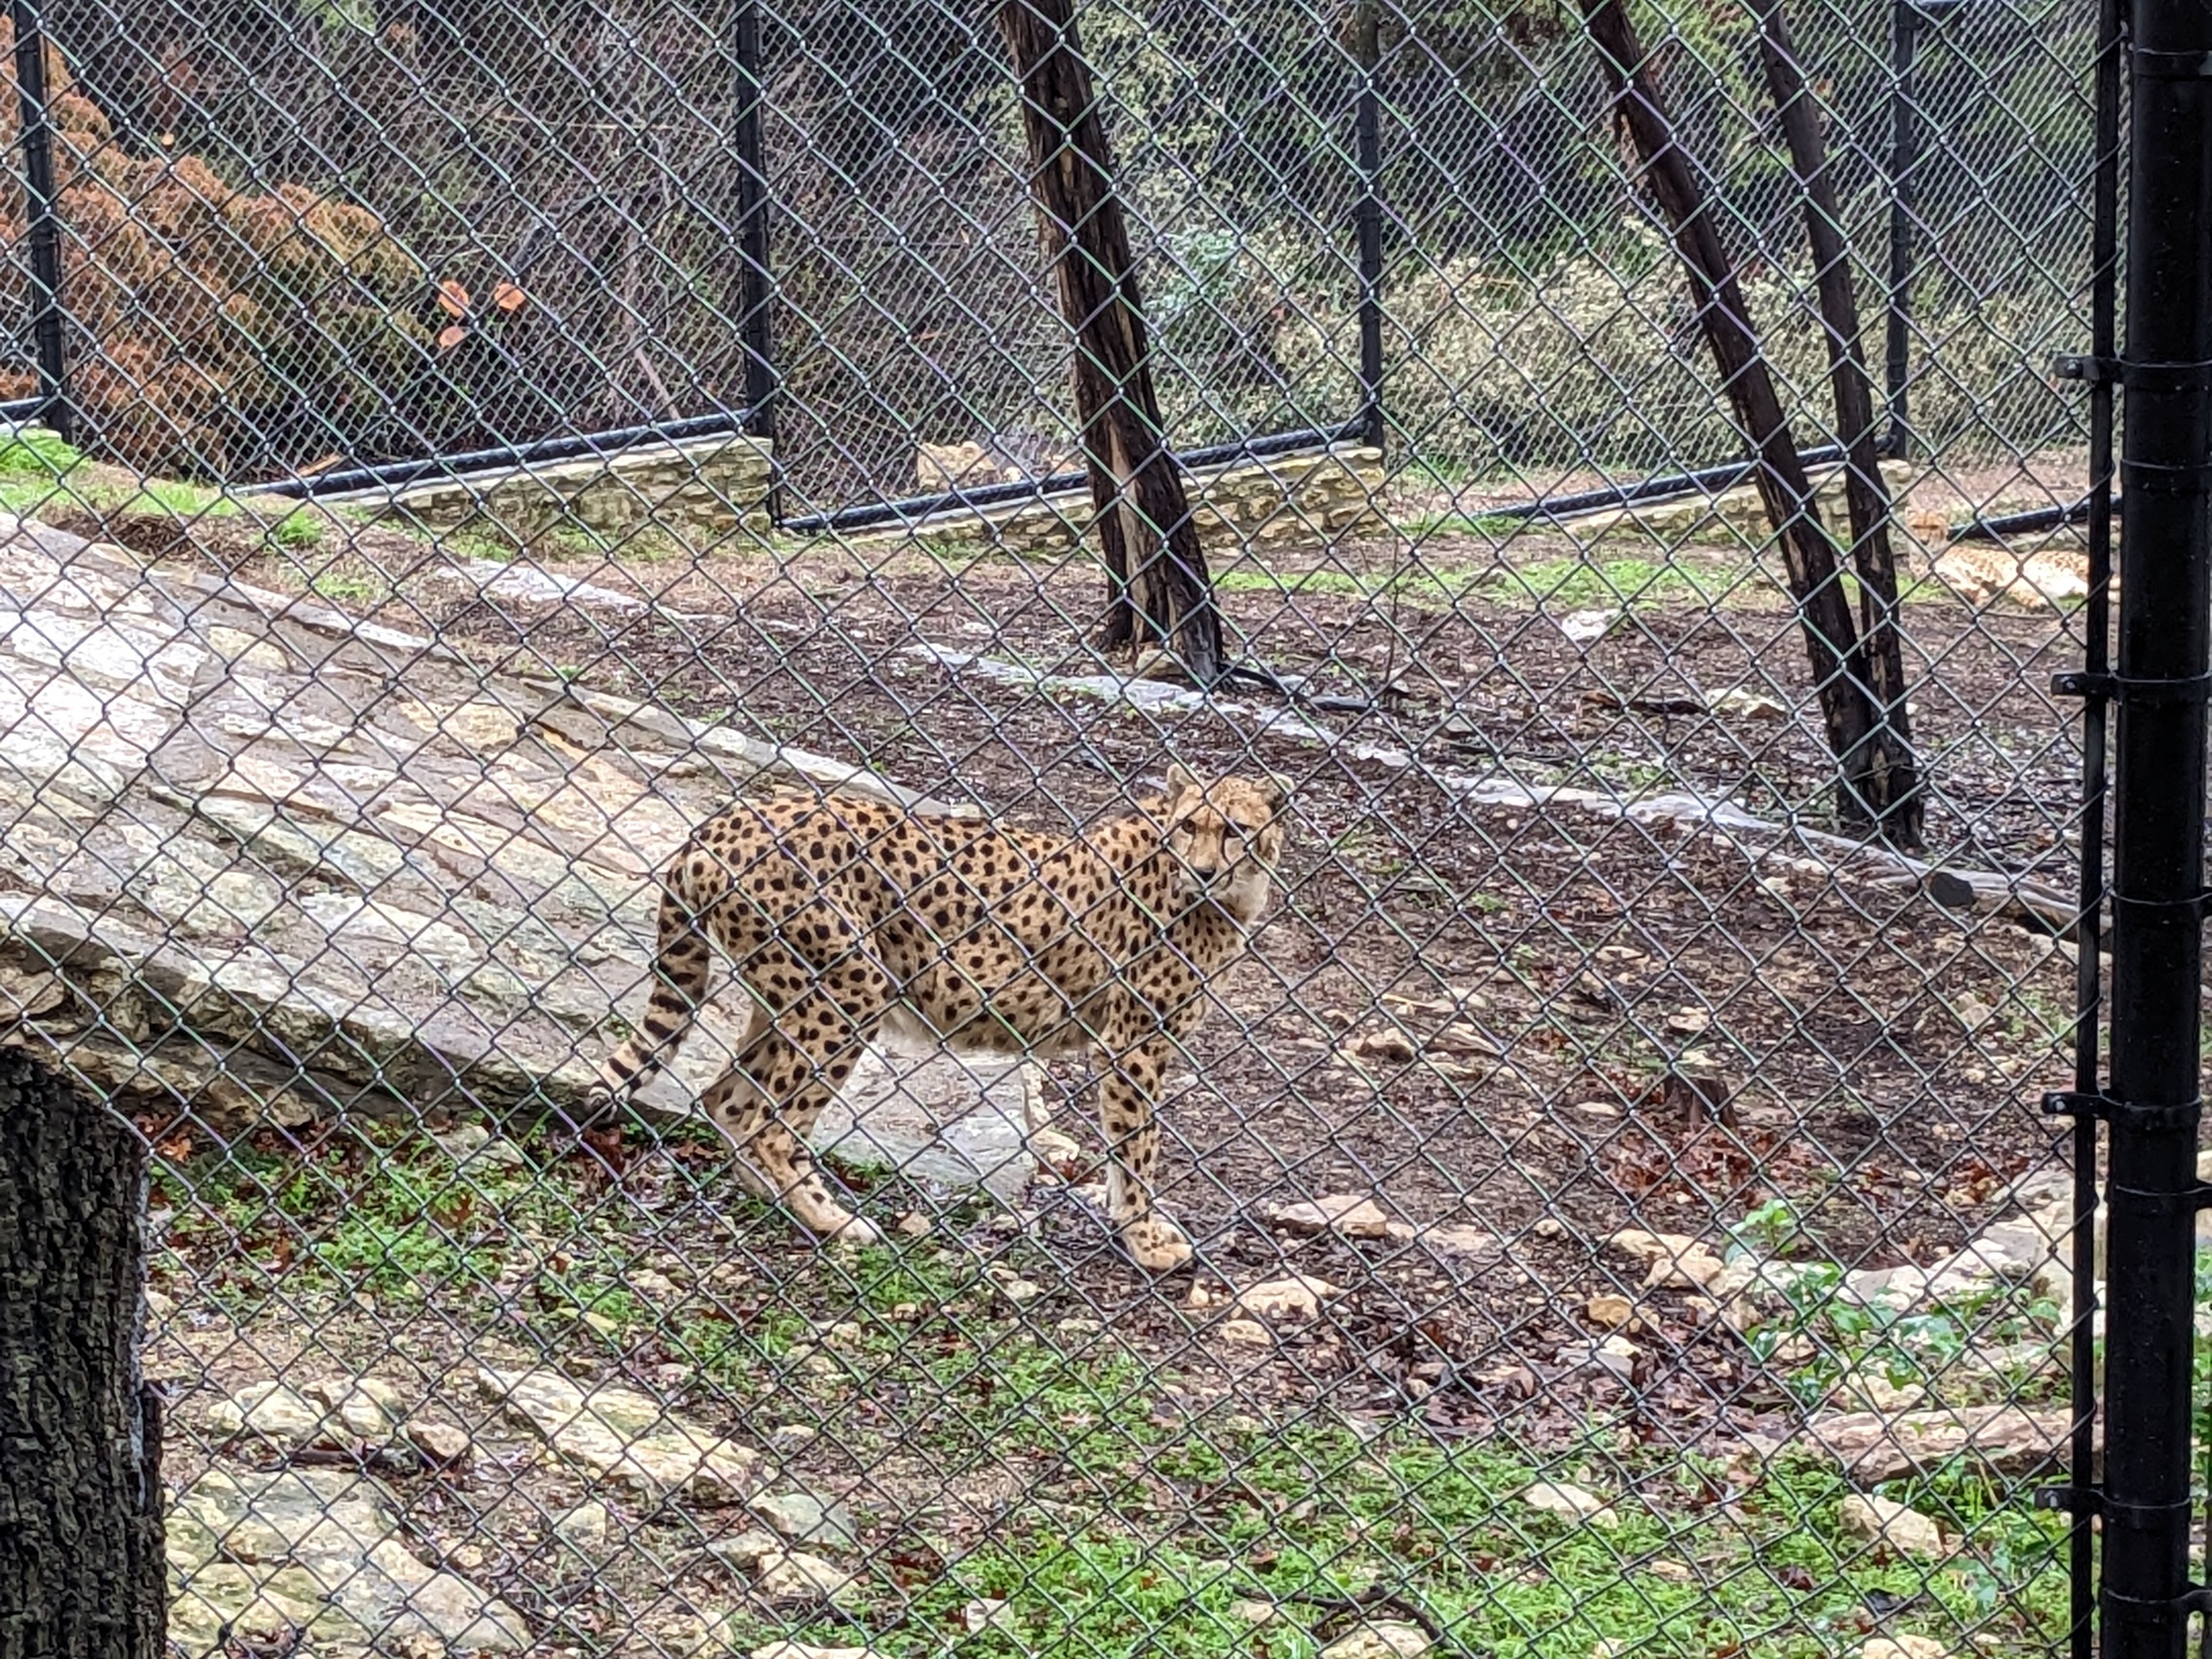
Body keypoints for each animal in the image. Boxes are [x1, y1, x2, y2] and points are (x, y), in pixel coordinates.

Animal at [589, 765, 1290, 1271]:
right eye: (1191, 825)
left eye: (1234, 829)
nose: (1203, 869)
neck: (1224, 898)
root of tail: (725, 819)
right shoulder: (1133, 1042)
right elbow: (1137, 1145)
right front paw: (1146, 1239)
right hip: (850, 990)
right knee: (770, 1121)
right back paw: (831, 1219)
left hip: (785, 995)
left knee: (728, 1101)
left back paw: (777, 1199)